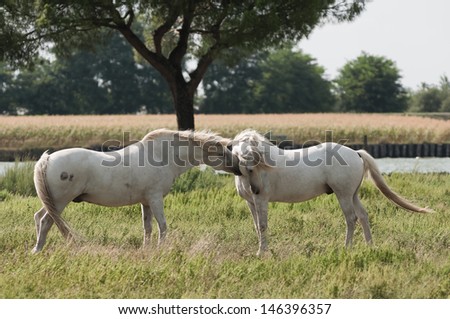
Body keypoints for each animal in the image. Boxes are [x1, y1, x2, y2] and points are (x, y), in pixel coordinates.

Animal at [32, 129, 241, 254]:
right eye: (221, 153)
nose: (239, 168)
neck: (161, 155)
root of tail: (47, 159)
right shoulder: (155, 198)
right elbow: (162, 226)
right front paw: (160, 249)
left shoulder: (145, 202)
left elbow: (147, 227)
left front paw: (146, 250)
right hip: (60, 202)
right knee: (46, 221)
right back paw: (38, 249)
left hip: (52, 202)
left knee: (39, 217)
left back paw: (37, 248)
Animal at [232, 129, 432, 256]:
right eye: (238, 146)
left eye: (253, 145)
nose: (255, 188)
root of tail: (356, 153)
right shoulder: (251, 202)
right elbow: (257, 226)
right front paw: (261, 250)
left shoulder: (261, 200)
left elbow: (263, 226)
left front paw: (261, 253)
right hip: (353, 195)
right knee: (363, 216)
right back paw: (370, 246)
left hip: (343, 195)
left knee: (351, 218)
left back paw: (346, 247)